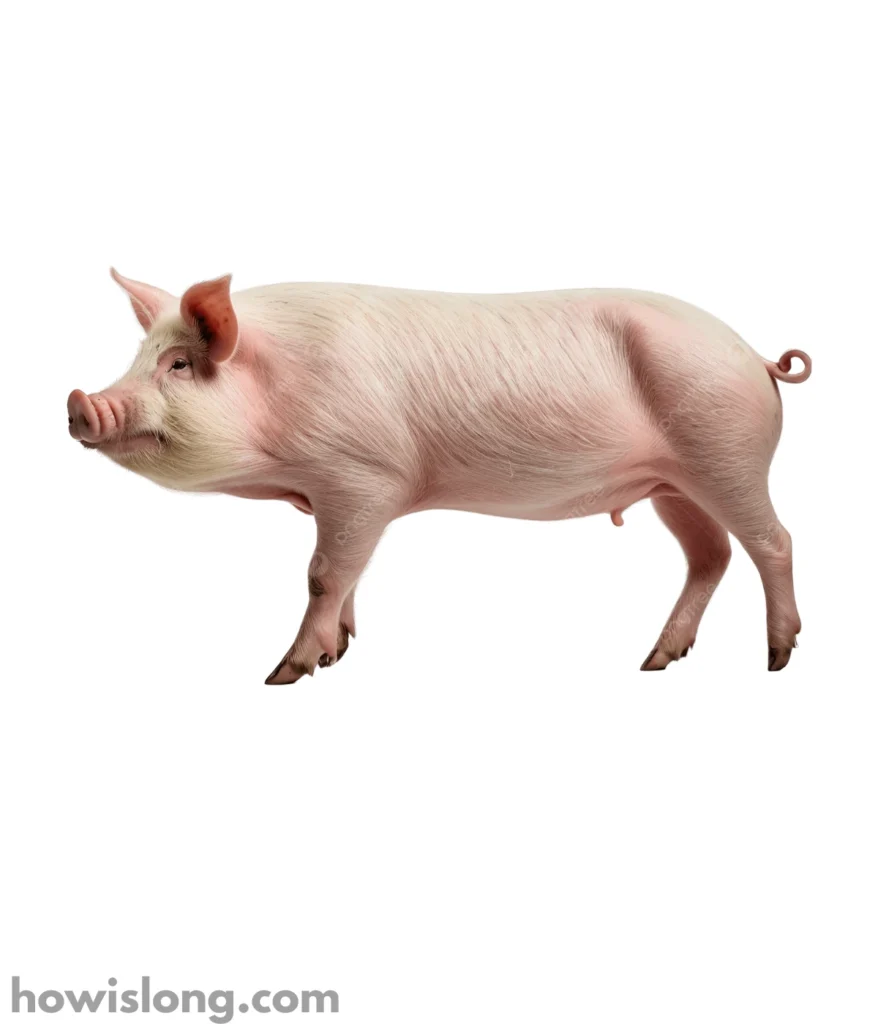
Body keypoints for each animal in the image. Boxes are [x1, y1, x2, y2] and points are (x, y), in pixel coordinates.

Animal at [68, 271, 812, 681]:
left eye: (179, 365)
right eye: (139, 356)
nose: (79, 403)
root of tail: (754, 355)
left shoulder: (362, 475)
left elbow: (324, 574)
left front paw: (286, 674)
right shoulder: (350, 496)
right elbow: (350, 575)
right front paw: (340, 652)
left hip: (727, 453)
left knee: (773, 542)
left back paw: (777, 658)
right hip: (672, 484)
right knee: (710, 556)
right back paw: (656, 660)